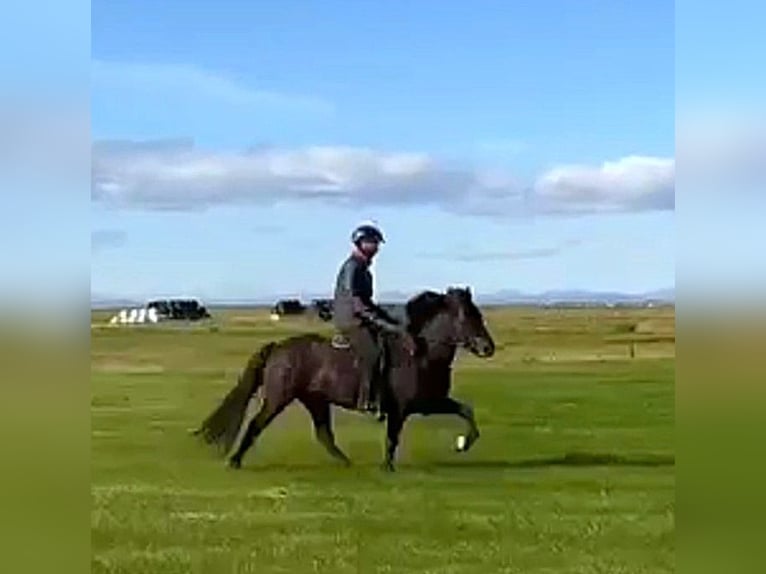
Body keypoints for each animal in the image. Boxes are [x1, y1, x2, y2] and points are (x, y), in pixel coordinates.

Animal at [194, 286, 496, 471]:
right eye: (467, 317)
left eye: (478, 314)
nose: (487, 348)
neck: (419, 352)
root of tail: (278, 347)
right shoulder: (401, 409)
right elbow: (392, 438)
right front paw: (387, 467)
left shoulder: (430, 403)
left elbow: (466, 411)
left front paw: (463, 443)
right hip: (279, 398)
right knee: (256, 424)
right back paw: (235, 461)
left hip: (315, 401)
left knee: (324, 434)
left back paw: (346, 462)